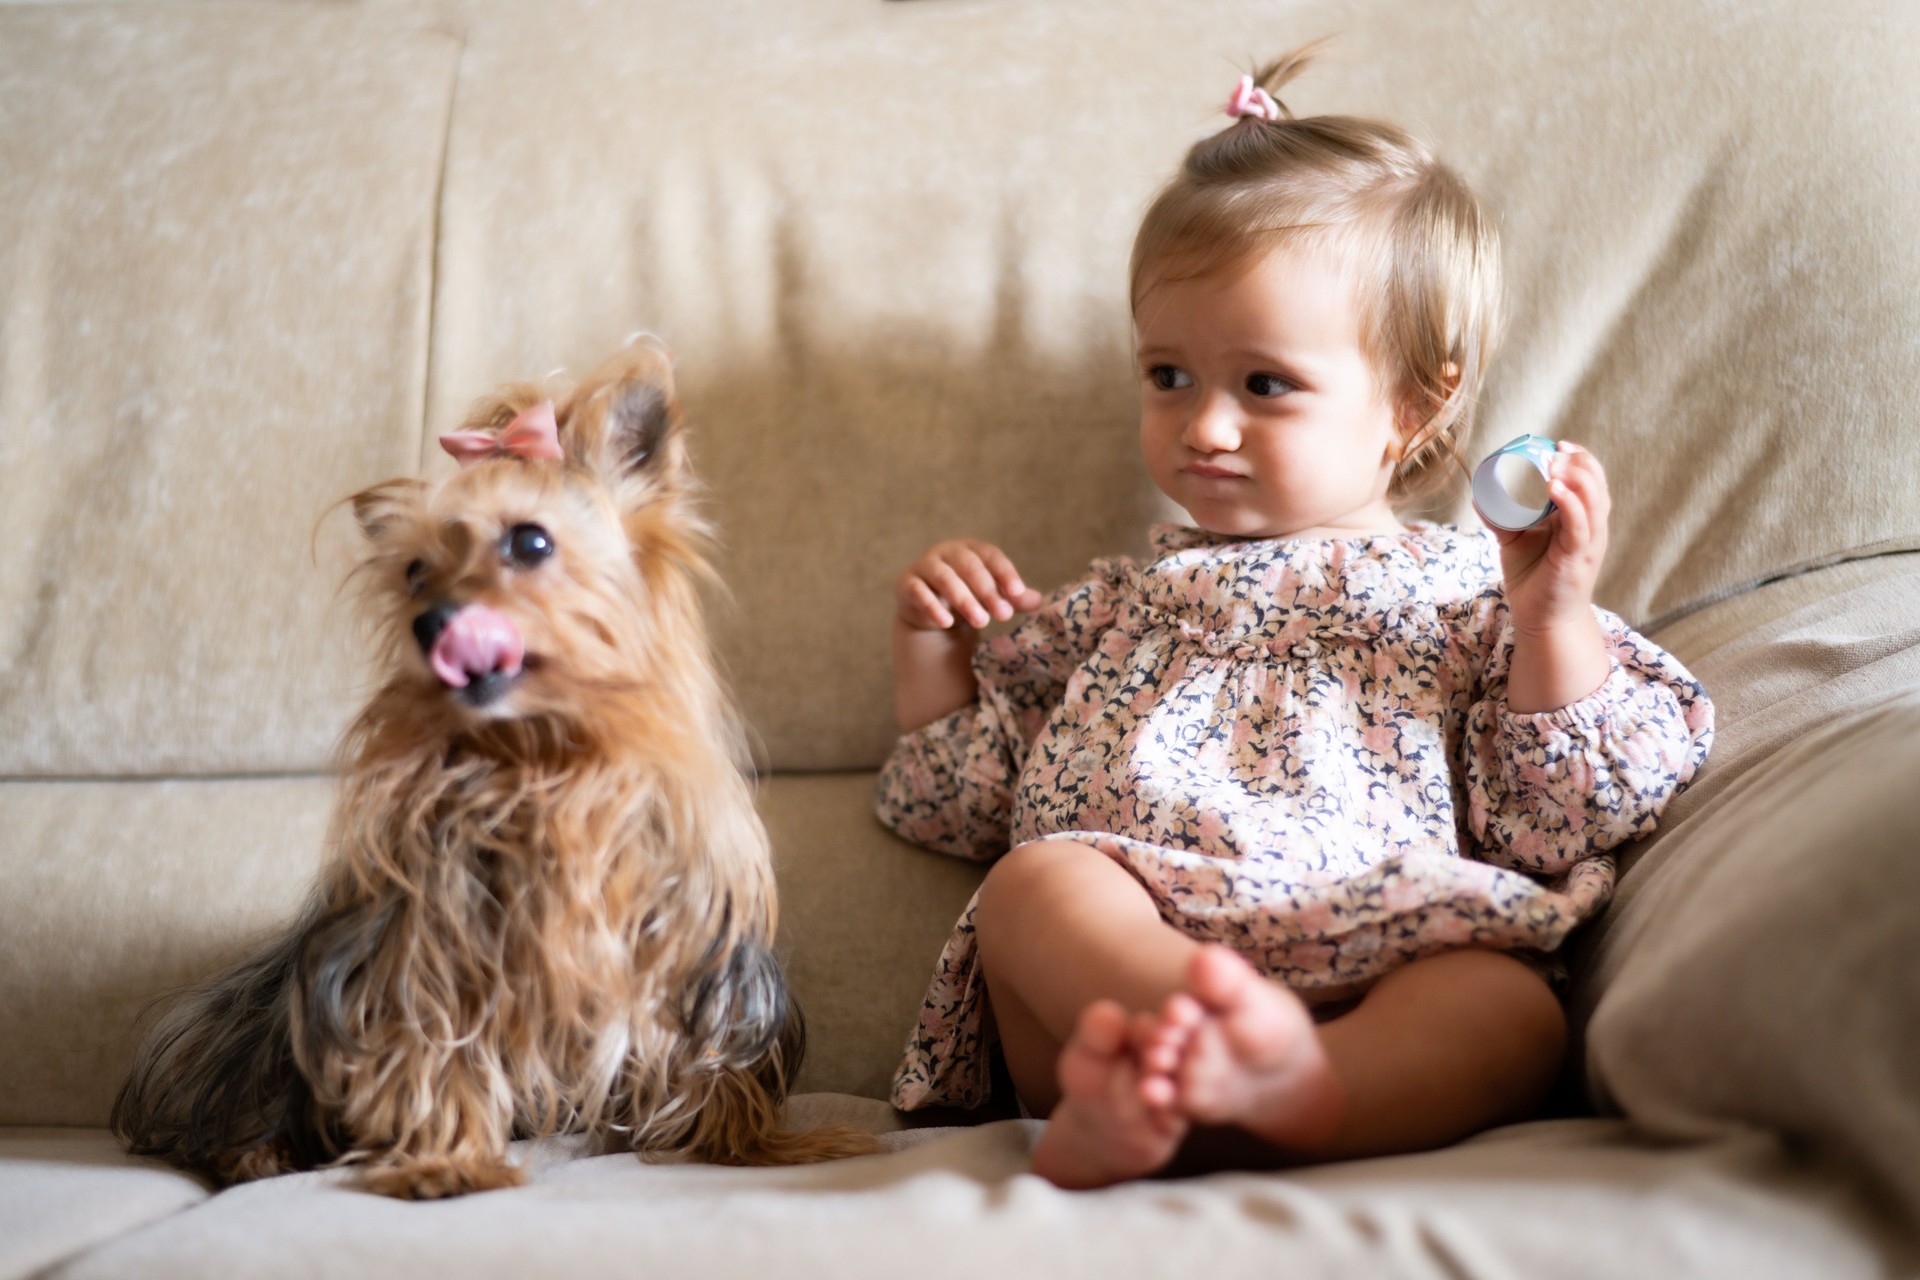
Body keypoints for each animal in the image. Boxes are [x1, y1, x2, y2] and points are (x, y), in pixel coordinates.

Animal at [112, 343, 879, 1205]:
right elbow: (434, 1049)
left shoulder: (689, 944)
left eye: (531, 542)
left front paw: (760, 1144)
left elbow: (713, 1064)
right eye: (414, 572)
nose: (431, 623)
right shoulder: (427, 949)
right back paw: (255, 1153)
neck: (541, 761)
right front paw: (446, 1162)